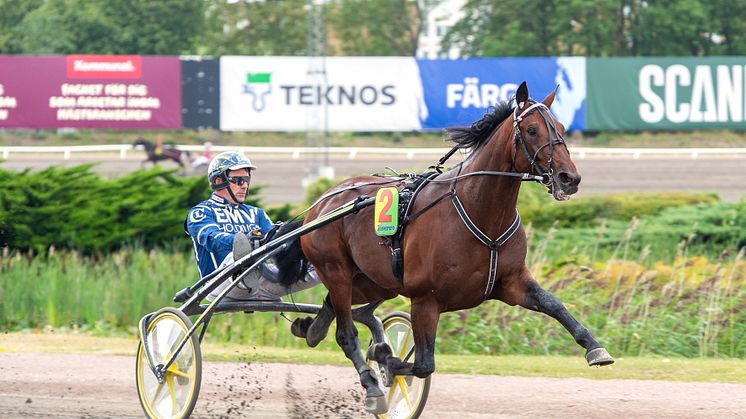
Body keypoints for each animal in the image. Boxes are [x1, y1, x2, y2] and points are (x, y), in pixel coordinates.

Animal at [290, 81, 612, 414]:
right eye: (533, 130)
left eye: (561, 127)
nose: (569, 178)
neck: (480, 212)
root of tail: (323, 201)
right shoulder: (425, 299)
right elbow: (422, 364)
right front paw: (385, 358)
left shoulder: (511, 282)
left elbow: (554, 303)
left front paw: (595, 347)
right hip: (336, 269)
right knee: (346, 333)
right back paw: (372, 387)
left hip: (374, 281)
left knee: (335, 306)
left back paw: (310, 329)